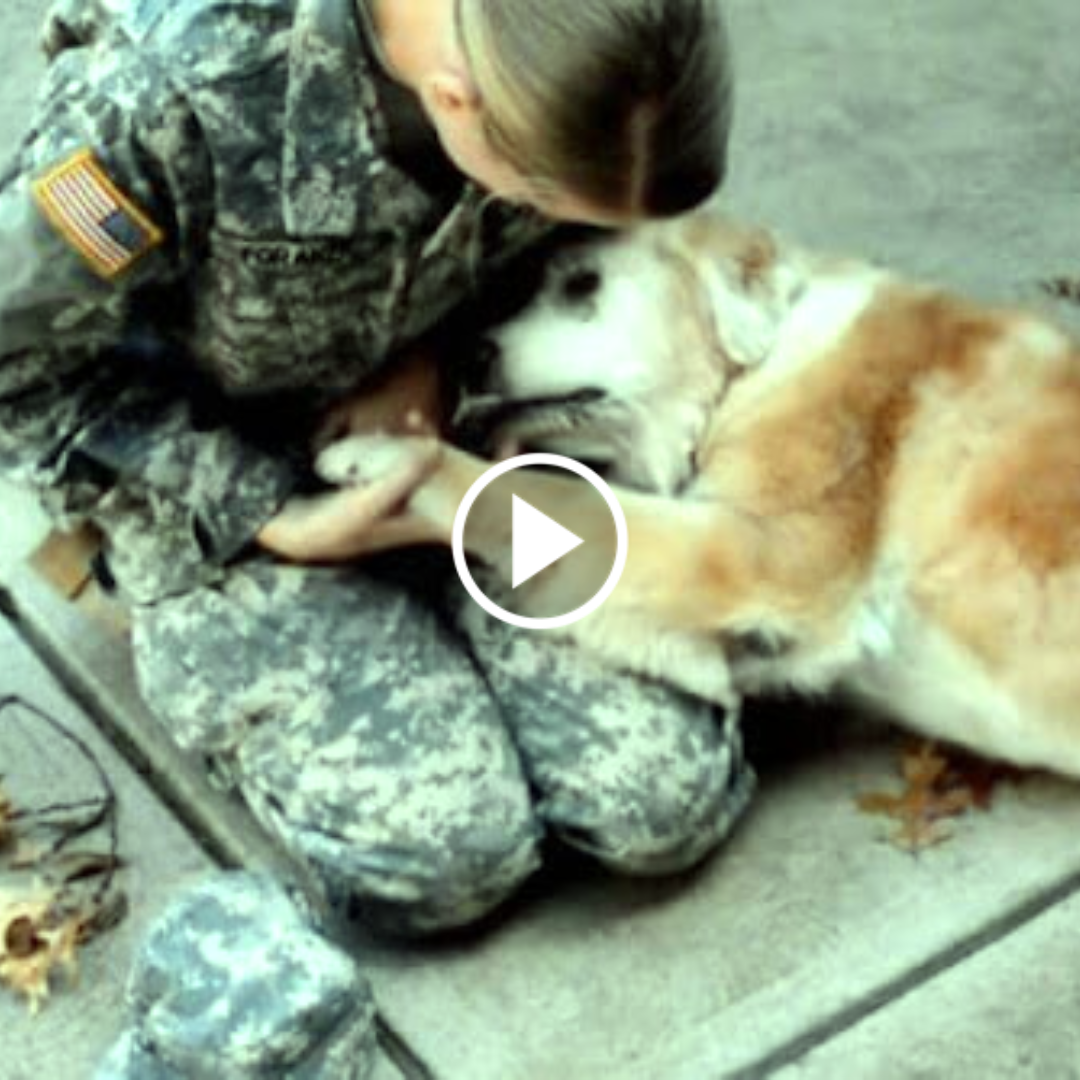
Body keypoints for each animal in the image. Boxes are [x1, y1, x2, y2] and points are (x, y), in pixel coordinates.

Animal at [315, 206, 1080, 777]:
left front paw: (387, 456)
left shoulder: (762, 550)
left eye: (583, 284)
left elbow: (553, 501)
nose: (467, 359)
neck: (749, 368)